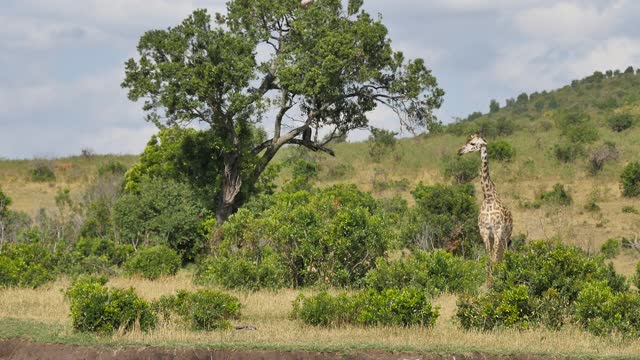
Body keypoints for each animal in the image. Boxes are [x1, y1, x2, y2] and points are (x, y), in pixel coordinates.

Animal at [458, 134, 512, 282]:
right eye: (466, 141)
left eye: (472, 143)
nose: (460, 151)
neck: (488, 196)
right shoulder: (484, 231)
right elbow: (489, 259)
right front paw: (488, 280)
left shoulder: (498, 230)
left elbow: (493, 259)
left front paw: (492, 281)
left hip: (506, 235)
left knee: (504, 254)